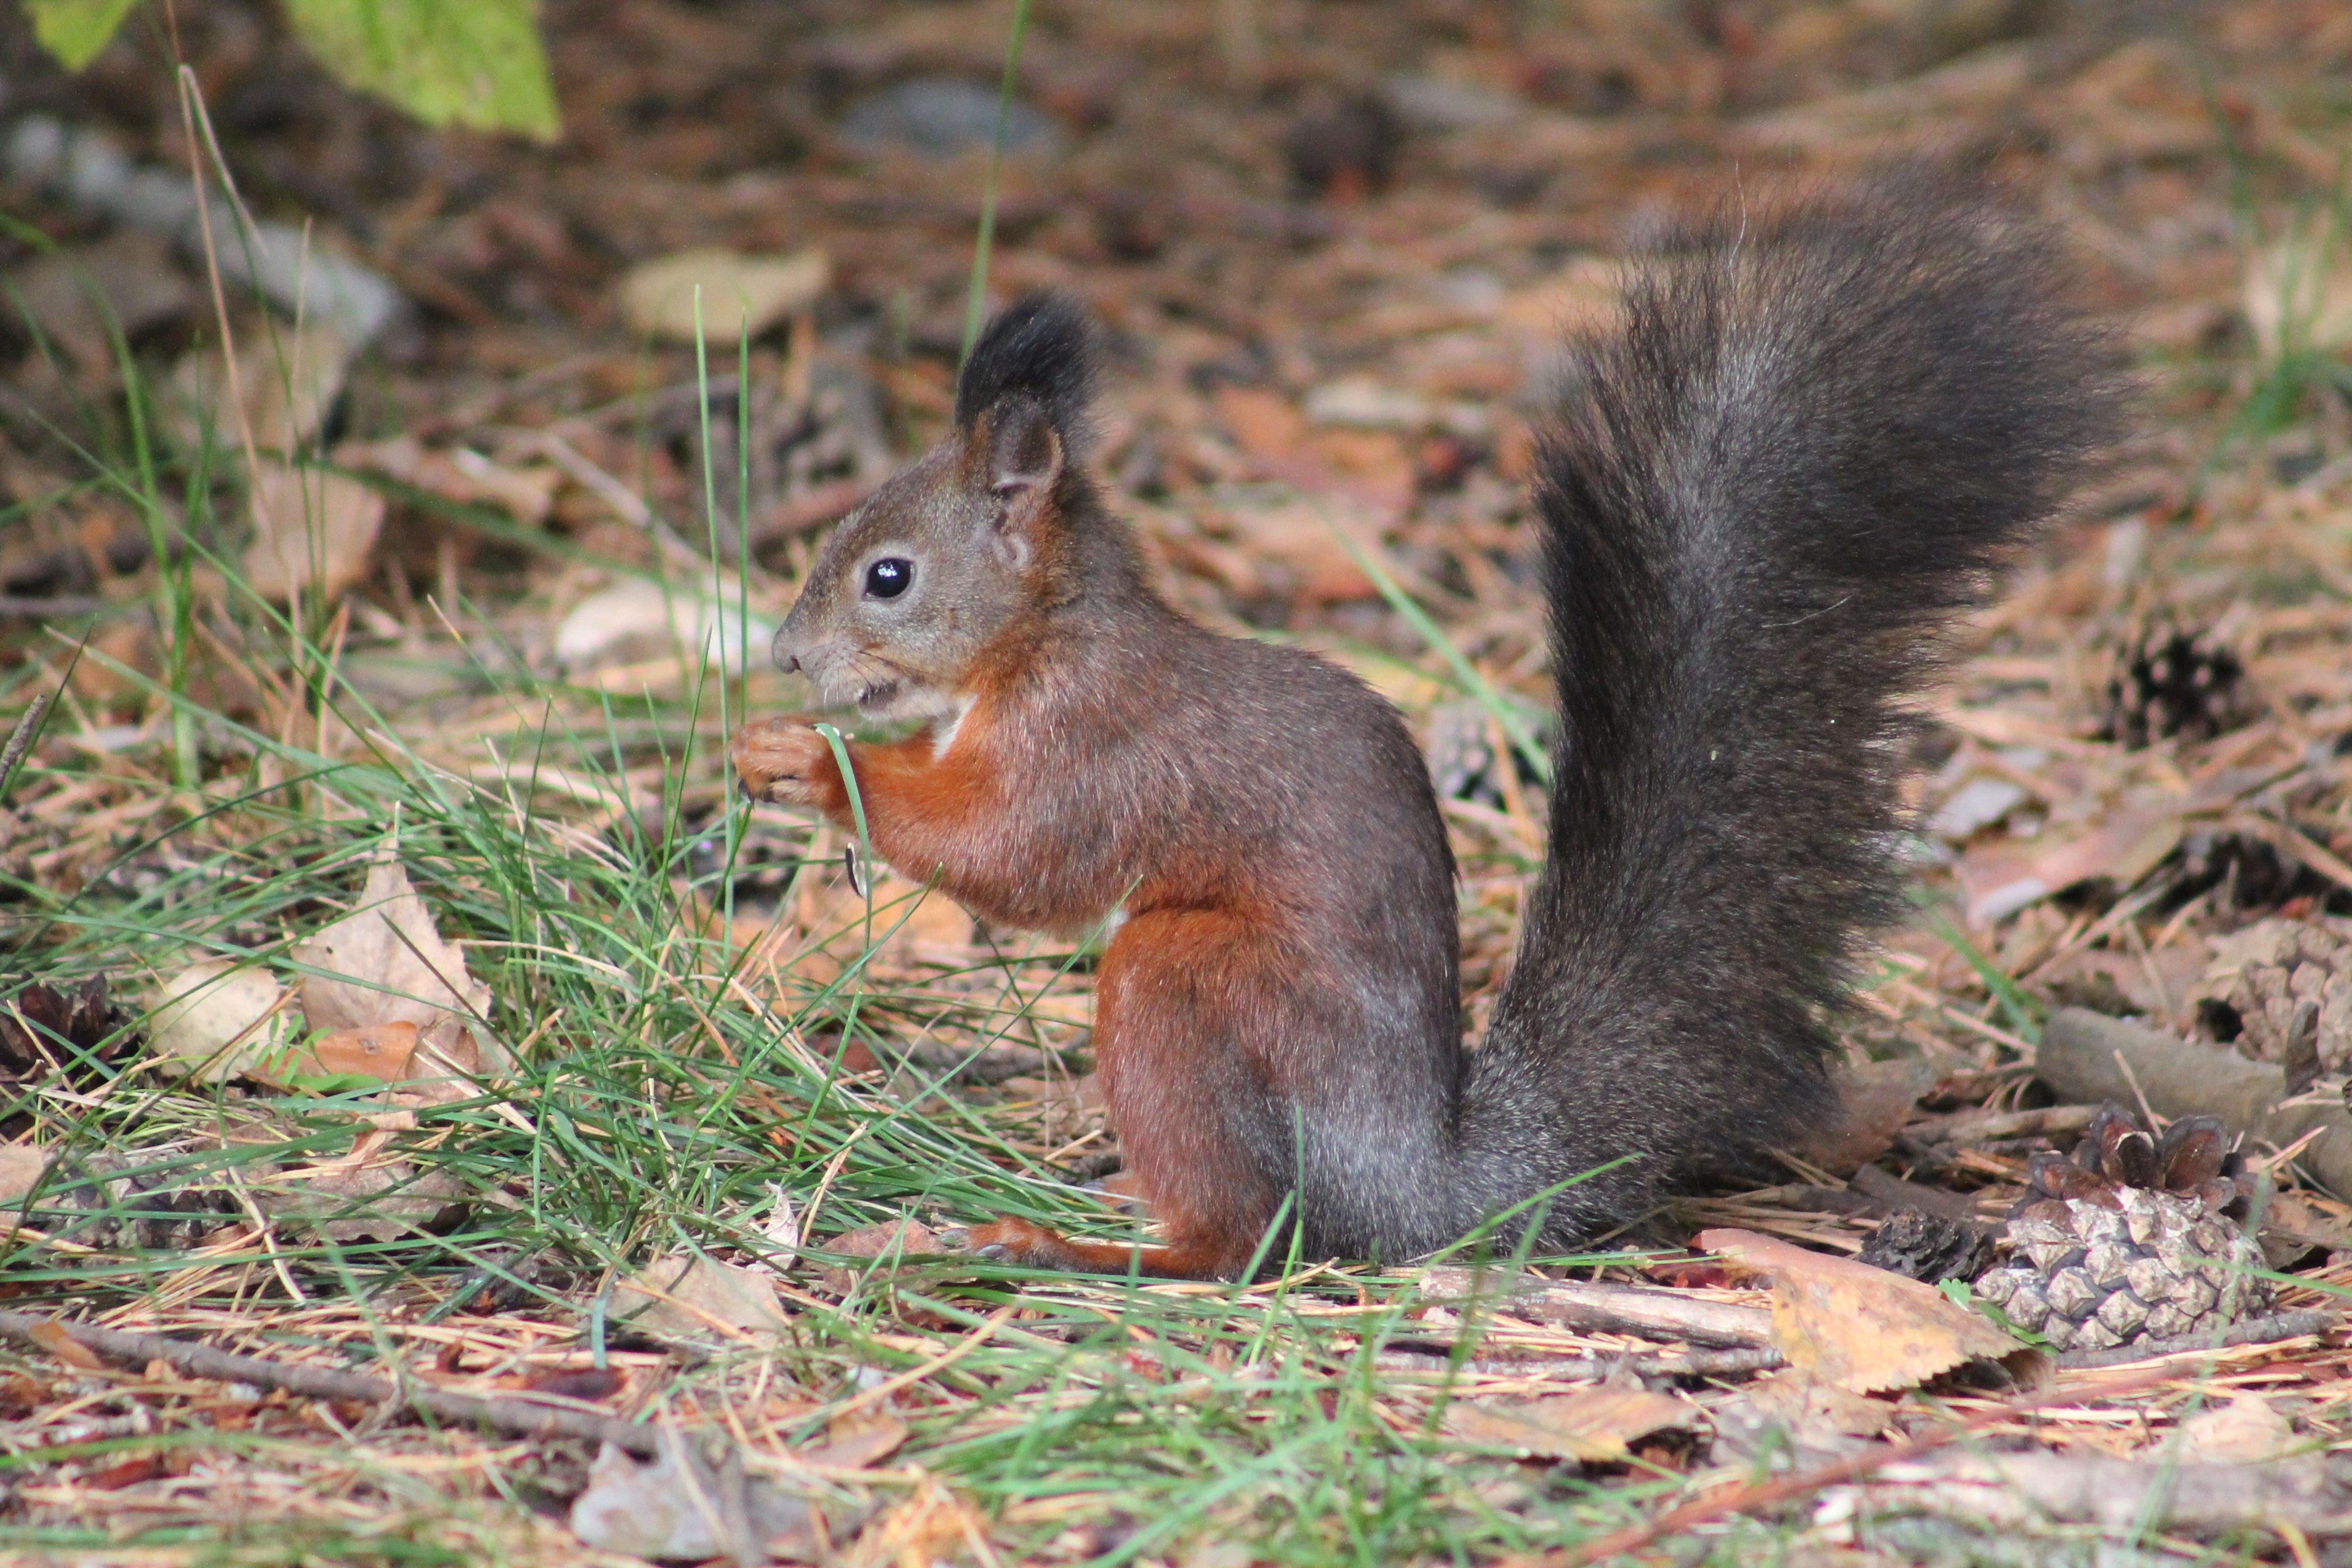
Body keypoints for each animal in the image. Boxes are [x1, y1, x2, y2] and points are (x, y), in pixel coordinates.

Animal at [724, 177, 2126, 1278]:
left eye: (889, 576)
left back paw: (1083, 1243)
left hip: (1189, 983)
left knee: (1242, 1236)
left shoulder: (1093, 749)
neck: (1047, 639)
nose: (785, 656)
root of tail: (1420, 1179)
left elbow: (1014, 857)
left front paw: (818, 765)